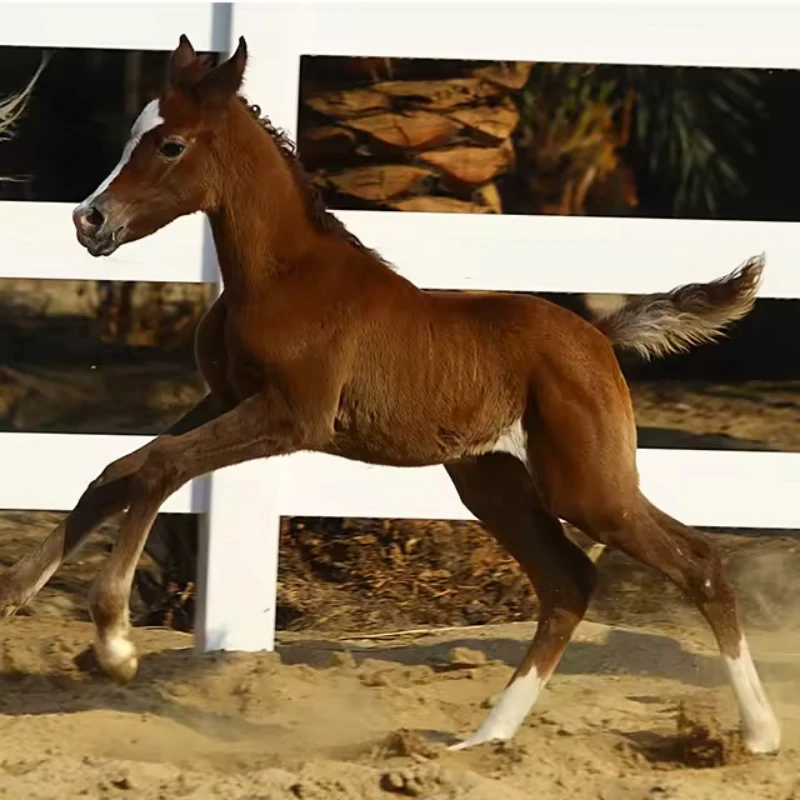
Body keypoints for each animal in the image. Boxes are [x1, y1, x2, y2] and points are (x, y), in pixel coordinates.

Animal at [0, 34, 780, 756]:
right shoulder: (223, 398)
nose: (89, 220)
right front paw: (15, 594)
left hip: (586, 486)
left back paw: (759, 734)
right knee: (568, 584)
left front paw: (115, 643)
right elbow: (117, 471)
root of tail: (598, 332)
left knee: (697, 565)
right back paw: (483, 739)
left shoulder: (292, 417)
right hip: (494, 481)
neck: (284, 276)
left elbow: (160, 466)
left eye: (169, 144)